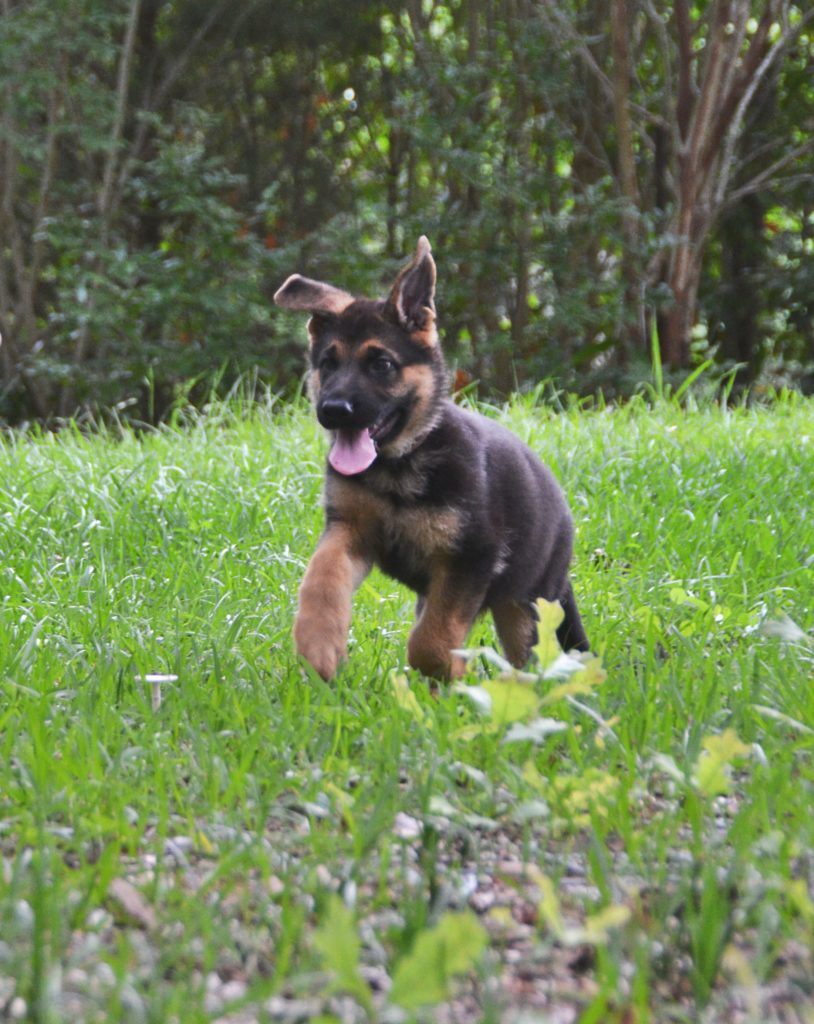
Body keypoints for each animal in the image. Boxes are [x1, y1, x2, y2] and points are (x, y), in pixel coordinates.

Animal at [274, 234, 585, 675]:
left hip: (525, 604)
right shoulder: (349, 530)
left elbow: (433, 637)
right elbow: (322, 578)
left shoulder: (469, 559)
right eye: (327, 364)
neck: (399, 465)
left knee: (529, 659)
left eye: (382, 364)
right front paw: (318, 645)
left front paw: (449, 672)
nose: (333, 410)